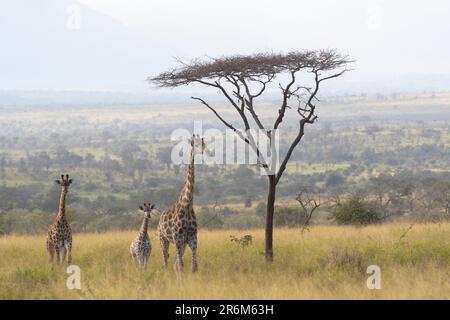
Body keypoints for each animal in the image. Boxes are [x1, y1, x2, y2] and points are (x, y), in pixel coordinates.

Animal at [158, 134, 207, 272]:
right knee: (165, 259)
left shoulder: (192, 238)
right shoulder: (178, 238)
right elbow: (181, 265)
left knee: (174, 261)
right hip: (163, 239)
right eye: (195, 144)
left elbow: (194, 266)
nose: (203, 151)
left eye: (203, 143)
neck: (187, 205)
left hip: (182, 243)